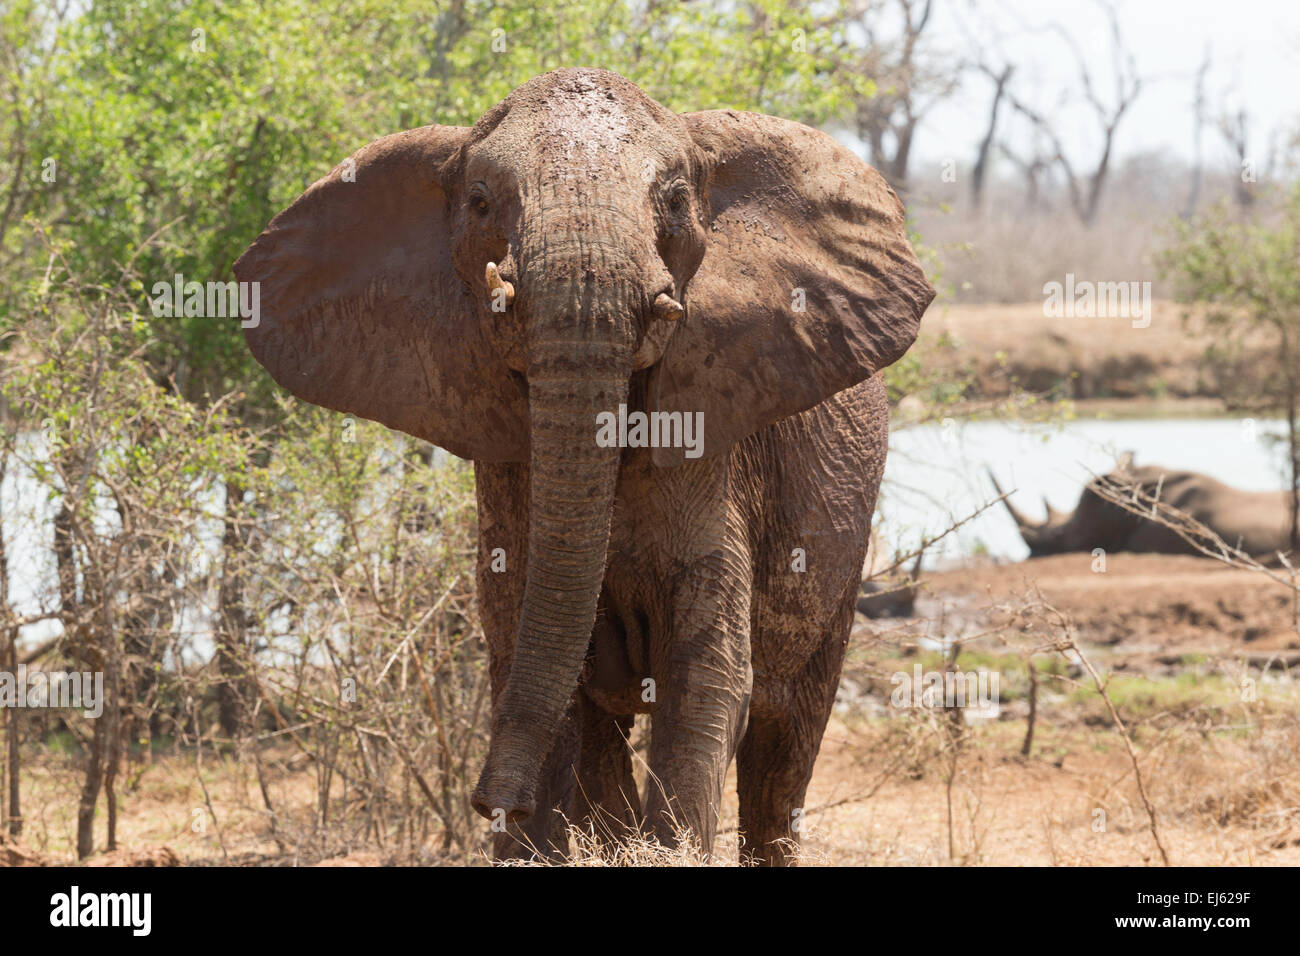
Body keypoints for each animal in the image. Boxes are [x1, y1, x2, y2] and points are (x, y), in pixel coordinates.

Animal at [233, 65, 935, 858]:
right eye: (480, 202)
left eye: (675, 201)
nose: (488, 800)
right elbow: (537, 661)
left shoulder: (719, 466)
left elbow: (707, 678)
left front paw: (660, 849)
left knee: (784, 744)